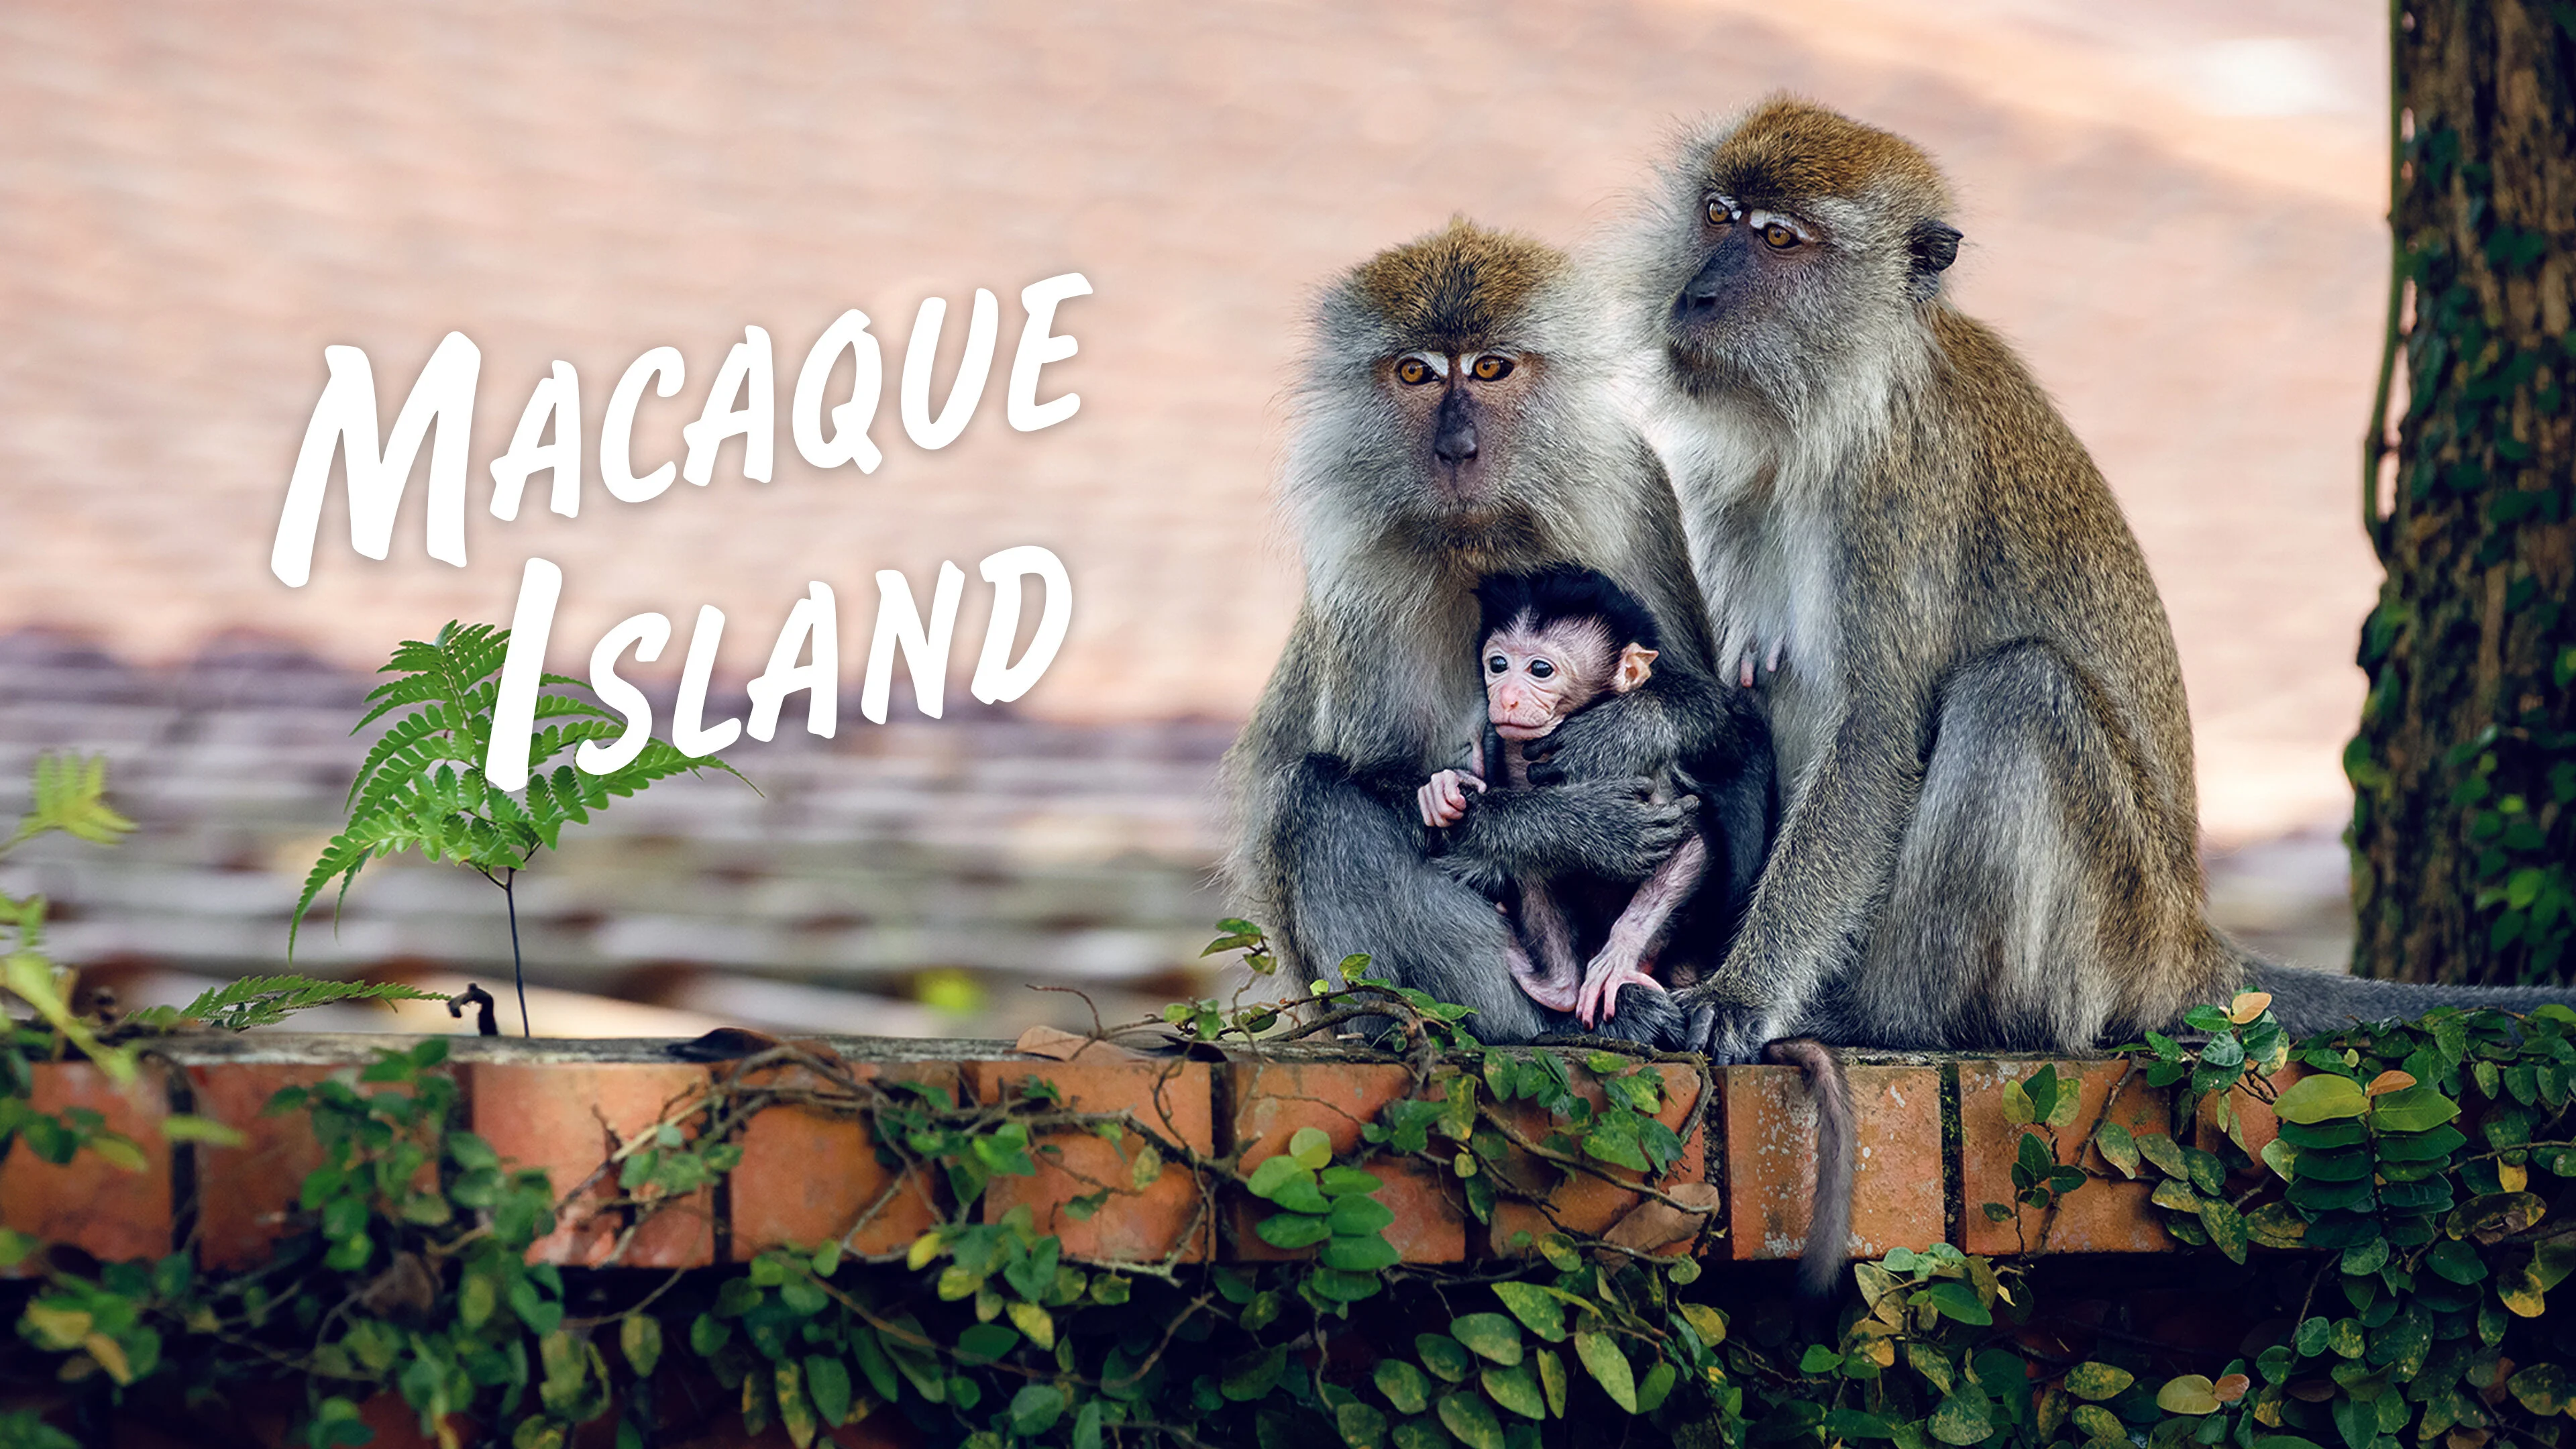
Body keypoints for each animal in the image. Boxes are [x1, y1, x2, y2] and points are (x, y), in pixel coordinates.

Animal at [1221, 219, 1731, 1051]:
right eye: (1417, 374)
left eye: (1490, 368)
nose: (1456, 449)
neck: (1480, 541)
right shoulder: (1360, 575)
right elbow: (1384, 776)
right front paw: (1568, 827)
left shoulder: (1633, 498)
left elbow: (1716, 715)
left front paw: (1622, 733)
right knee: (1314, 800)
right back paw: (1535, 1020)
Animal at [1415, 564, 1776, 1033]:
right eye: (1498, 665)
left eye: (1540, 669)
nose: (1505, 697)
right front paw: (1443, 791)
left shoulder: (1639, 772)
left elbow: (1690, 844)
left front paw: (1619, 953)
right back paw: (1556, 986)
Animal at [1592, 95, 2576, 1070]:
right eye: (1718, 215)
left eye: (1779, 239)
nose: (1698, 294)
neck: (1833, 410)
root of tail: (2191, 941)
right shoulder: (1728, 482)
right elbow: (1744, 701)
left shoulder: (1897, 492)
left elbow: (1873, 736)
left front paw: (1742, 994)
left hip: (2110, 938)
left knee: (2019, 693)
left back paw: (1891, 1017)